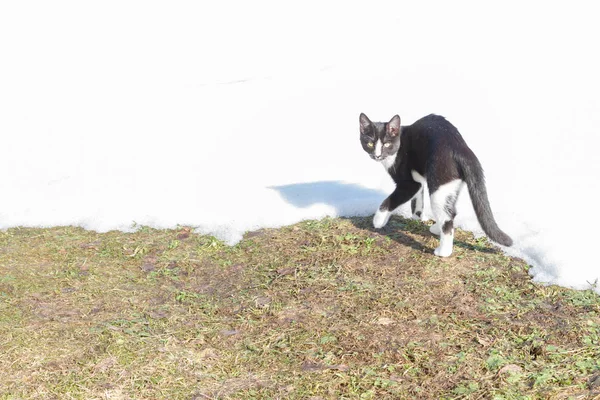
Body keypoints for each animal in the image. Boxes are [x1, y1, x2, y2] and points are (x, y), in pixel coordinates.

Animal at [358, 112, 512, 256]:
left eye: (387, 144)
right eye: (370, 144)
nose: (377, 155)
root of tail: (462, 148)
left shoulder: (409, 184)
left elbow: (389, 201)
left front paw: (378, 221)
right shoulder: (419, 182)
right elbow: (418, 200)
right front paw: (418, 217)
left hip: (439, 182)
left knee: (447, 218)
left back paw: (443, 251)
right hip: (451, 186)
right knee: (451, 211)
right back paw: (436, 229)